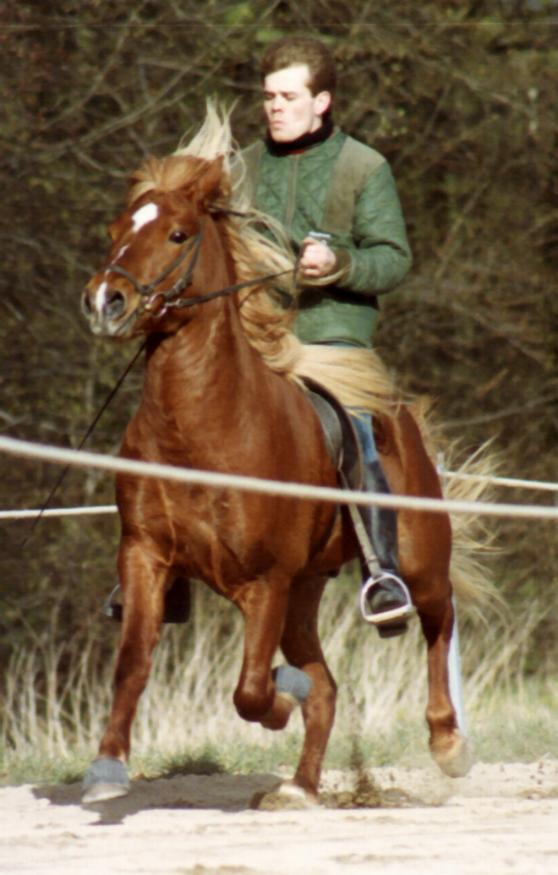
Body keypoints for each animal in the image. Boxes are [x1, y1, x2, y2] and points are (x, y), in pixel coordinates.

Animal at [80, 106, 490, 812]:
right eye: (116, 230)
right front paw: (107, 769)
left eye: (178, 233)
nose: (106, 301)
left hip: (415, 561)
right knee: (325, 683)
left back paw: (447, 743)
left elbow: (251, 689)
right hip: (305, 589)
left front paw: (280, 696)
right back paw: (299, 786)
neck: (199, 431)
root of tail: (401, 417)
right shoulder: (146, 557)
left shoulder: (264, 579)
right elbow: (133, 662)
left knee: (440, 622)